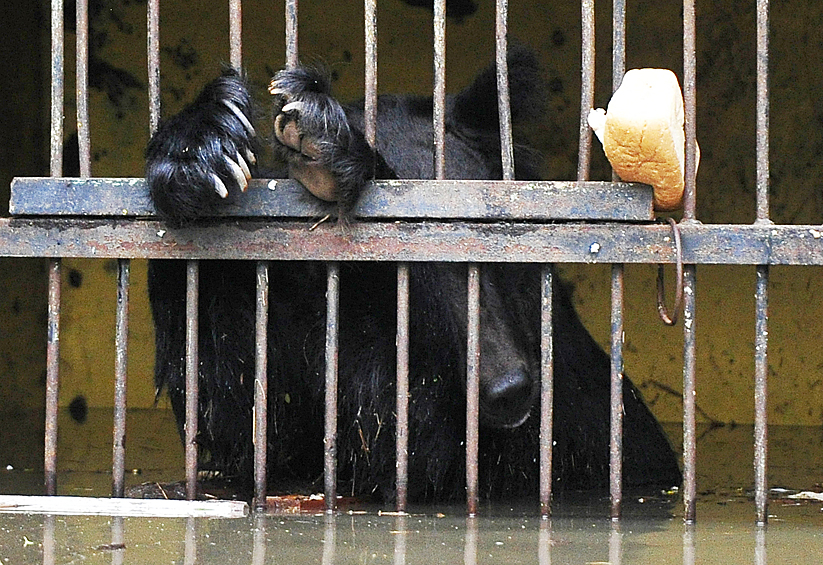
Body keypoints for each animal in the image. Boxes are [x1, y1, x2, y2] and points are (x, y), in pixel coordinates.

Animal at [143, 46, 684, 500]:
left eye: (496, 239)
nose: (509, 390)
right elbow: (234, 397)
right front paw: (204, 149)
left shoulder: (563, 400)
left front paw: (321, 139)